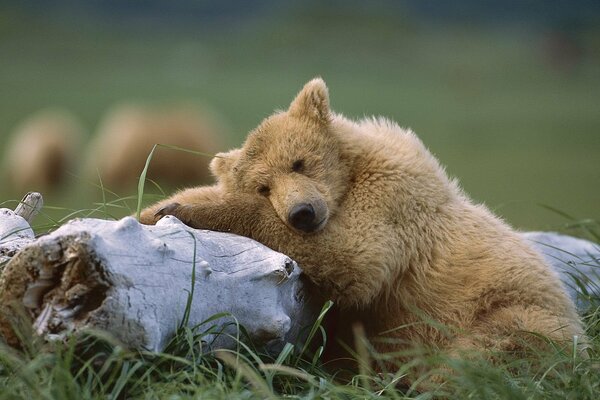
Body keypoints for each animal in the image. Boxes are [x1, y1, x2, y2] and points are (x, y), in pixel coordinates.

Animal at [139, 77, 580, 378]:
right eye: (264, 186)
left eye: (299, 162)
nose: (302, 213)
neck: (350, 176)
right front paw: (158, 208)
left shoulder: (392, 200)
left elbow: (354, 258)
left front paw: (189, 210)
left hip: (514, 312)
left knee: (483, 357)